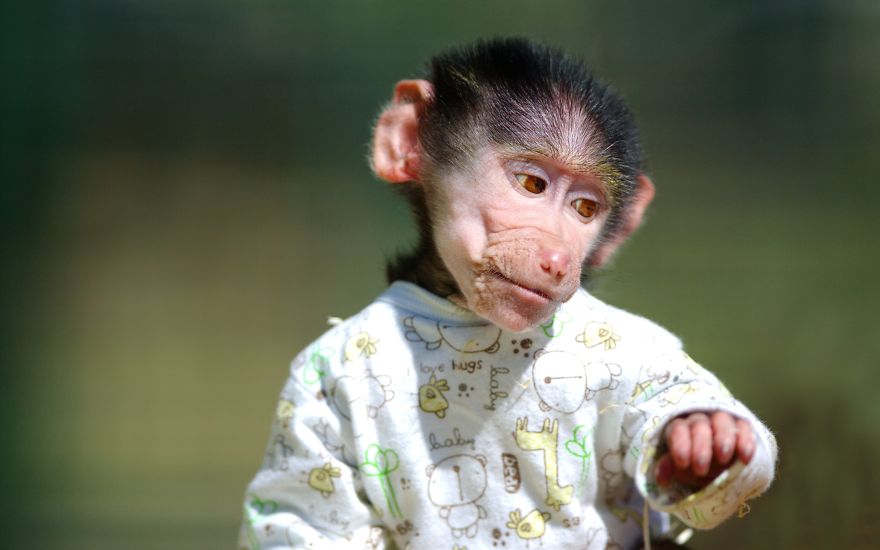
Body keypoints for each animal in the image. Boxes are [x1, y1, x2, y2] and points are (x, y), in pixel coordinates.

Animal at [240, 38, 776, 550]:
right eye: (532, 184)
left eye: (585, 209)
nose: (558, 258)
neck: (466, 319)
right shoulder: (310, 382)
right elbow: (302, 516)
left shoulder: (645, 346)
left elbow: (672, 390)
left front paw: (704, 436)